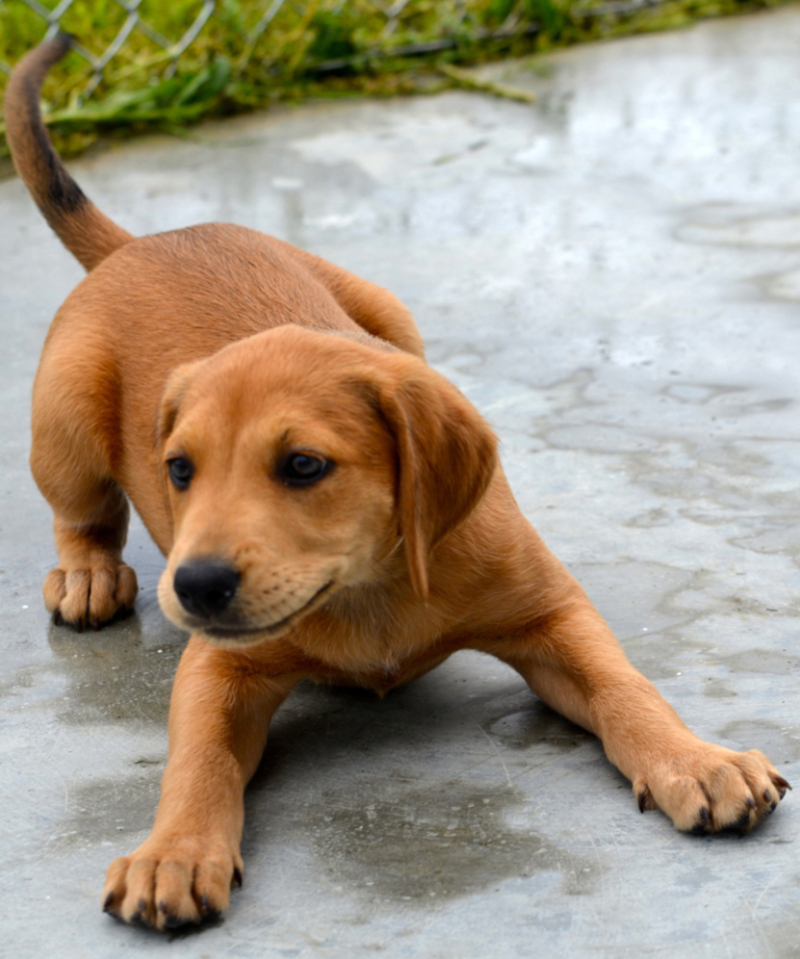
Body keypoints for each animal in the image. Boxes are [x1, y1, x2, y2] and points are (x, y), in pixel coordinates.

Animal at [4, 31, 788, 928]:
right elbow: (198, 760)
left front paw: (697, 758)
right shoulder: (218, 667)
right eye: (179, 469)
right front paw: (172, 850)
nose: (194, 586)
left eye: (303, 465)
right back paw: (88, 574)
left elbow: (627, 686)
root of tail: (140, 242)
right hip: (61, 415)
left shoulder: (552, 614)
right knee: (82, 512)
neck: (370, 586)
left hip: (389, 311)